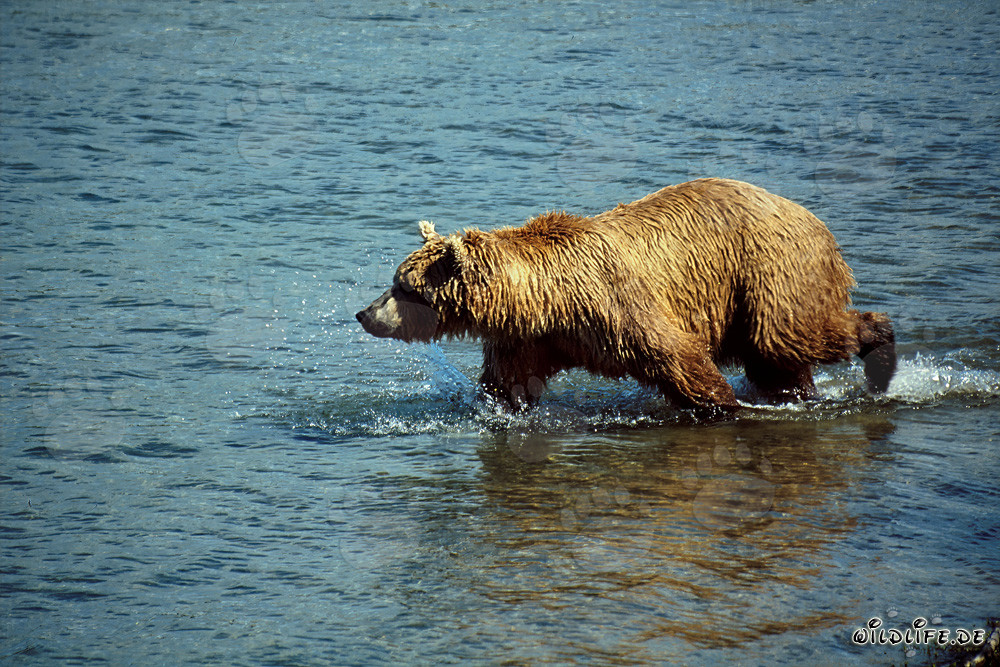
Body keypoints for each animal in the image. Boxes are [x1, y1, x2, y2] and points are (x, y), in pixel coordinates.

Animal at [356, 178, 896, 414]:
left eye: (402, 286)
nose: (363, 313)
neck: (543, 297)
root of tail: (813, 218)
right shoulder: (534, 338)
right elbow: (507, 383)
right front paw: (496, 408)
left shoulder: (616, 306)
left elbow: (676, 355)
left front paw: (722, 404)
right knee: (776, 360)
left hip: (768, 272)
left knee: (791, 335)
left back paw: (880, 349)